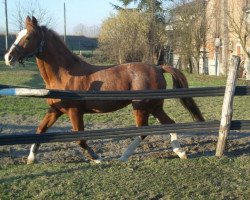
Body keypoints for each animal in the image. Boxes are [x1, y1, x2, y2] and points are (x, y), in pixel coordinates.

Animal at [4, 16, 205, 163]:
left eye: (28, 37)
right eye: (18, 35)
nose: (8, 57)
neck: (65, 76)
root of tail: (157, 67)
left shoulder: (75, 112)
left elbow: (80, 139)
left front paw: (97, 159)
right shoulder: (55, 110)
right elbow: (40, 131)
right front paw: (31, 158)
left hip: (141, 107)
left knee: (143, 131)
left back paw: (124, 157)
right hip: (154, 106)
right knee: (169, 123)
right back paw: (181, 152)